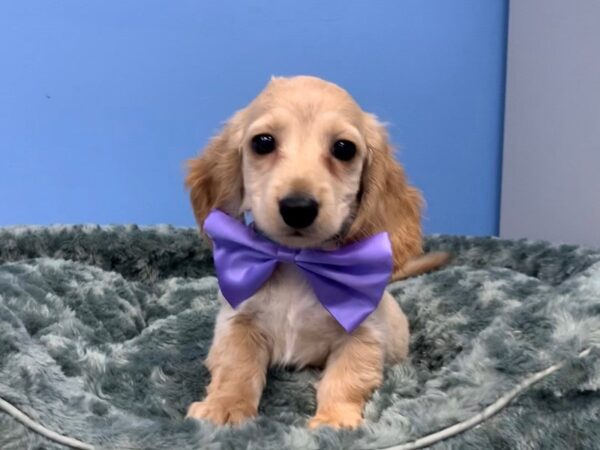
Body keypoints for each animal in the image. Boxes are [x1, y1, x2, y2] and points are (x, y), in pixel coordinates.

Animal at [185, 76, 448, 428]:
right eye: (263, 142)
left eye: (344, 148)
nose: (298, 208)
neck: (299, 263)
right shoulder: (238, 323)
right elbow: (235, 368)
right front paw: (224, 407)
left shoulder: (362, 335)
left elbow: (346, 378)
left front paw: (333, 420)